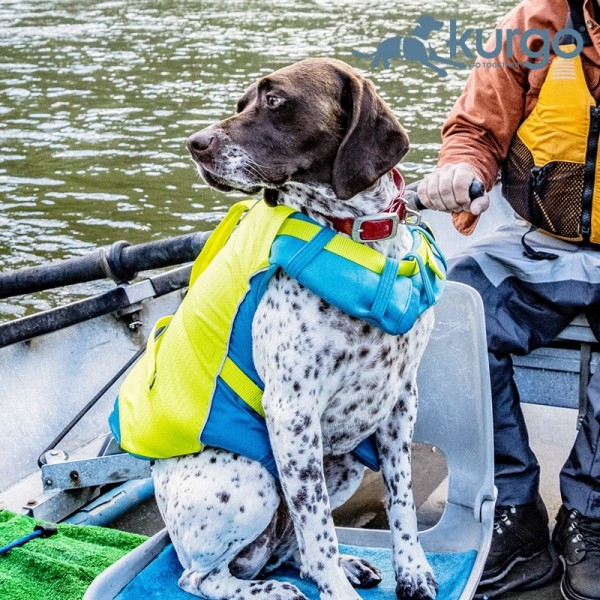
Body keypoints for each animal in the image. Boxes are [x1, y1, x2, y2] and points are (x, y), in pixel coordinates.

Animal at [152, 57, 438, 600]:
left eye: (274, 100)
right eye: (242, 102)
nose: (195, 143)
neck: (359, 235)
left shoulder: (401, 402)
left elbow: (402, 501)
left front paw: (411, 570)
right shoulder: (292, 412)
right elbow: (320, 530)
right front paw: (339, 591)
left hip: (342, 462)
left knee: (293, 549)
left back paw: (341, 566)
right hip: (252, 482)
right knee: (201, 576)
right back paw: (274, 589)